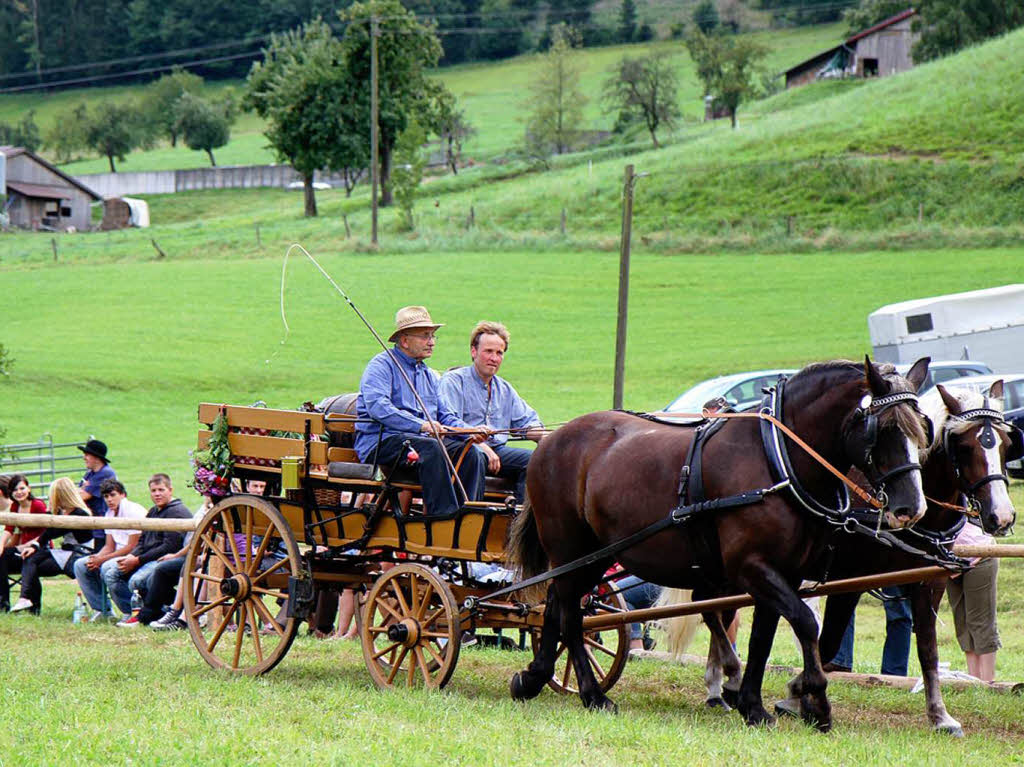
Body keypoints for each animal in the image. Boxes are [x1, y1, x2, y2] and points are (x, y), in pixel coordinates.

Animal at [507, 358, 933, 729]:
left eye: (922, 428)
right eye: (885, 428)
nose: (912, 508)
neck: (777, 458)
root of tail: (553, 438)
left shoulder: (783, 573)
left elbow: (763, 638)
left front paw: (753, 705)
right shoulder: (753, 567)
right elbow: (805, 622)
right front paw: (816, 701)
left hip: (594, 554)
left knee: (556, 606)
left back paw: (534, 678)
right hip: (571, 548)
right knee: (571, 614)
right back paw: (593, 695)